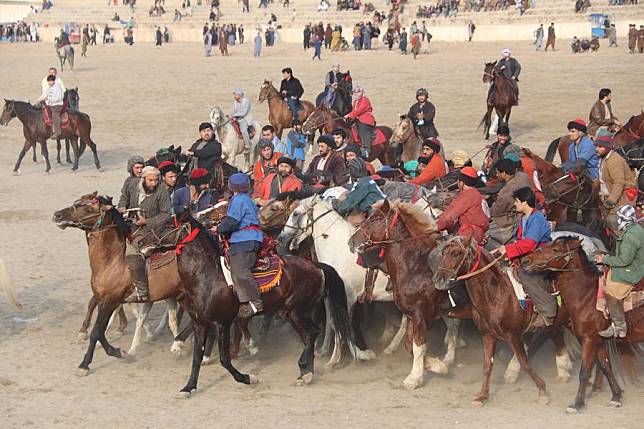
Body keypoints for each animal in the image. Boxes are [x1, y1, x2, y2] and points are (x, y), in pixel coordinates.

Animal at [52, 192, 184, 372]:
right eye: (77, 202)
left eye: (88, 208)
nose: (58, 215)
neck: (112, 262)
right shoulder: (104, 299)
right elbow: (100, 329)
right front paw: (119, 350)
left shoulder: (110, 300)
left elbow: (96, 332)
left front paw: (86, 364)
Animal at [155, 216, 354, 396]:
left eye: (165, 225)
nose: (146, 242)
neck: (206, 276)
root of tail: (316, 266)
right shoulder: (200, 323)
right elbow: (196, 357)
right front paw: (188, 387)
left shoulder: (222, 322)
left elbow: (224, 359)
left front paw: (248, 378)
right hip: (291, 313)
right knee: (308, 337)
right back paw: (306, 374)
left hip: (296, 311)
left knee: (313, 332)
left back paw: (304, 369)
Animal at [350, 200, 466, 388]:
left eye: (375, 219)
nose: (351, 241)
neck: (415, 266)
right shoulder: (412, 314)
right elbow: (409, 345)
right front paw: (437, 365)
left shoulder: (420, 313)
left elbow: (418, 345)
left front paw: (414, 378)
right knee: (453, 326)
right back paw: (448, 359)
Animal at [520, 236, 636, 412]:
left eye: (555, 249)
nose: (526, 260)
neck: (587, 297)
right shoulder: (599, 340)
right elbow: (605, 366)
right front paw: (616, 396)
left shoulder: (590, 339)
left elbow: (584, 371)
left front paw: (577, 403)